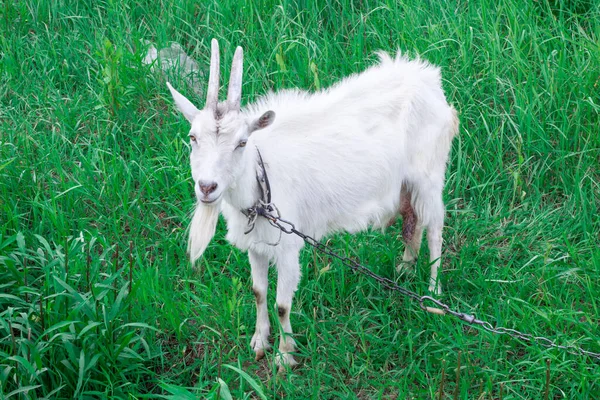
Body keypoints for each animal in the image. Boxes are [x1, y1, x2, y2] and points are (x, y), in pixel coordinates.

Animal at [166, 39, 458, 368]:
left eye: (241, 142)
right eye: (192, 137)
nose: (207, 187)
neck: (261, 177)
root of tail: (429, 80)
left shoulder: (288, 244)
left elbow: (282, 304)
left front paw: (284, 356)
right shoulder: (256, 244)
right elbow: (258, 291)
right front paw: (259, 342)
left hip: (429, 176)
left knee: (435, 229)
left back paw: (433, 293)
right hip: (405, 185)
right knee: (412, 221)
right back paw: (404, 270)